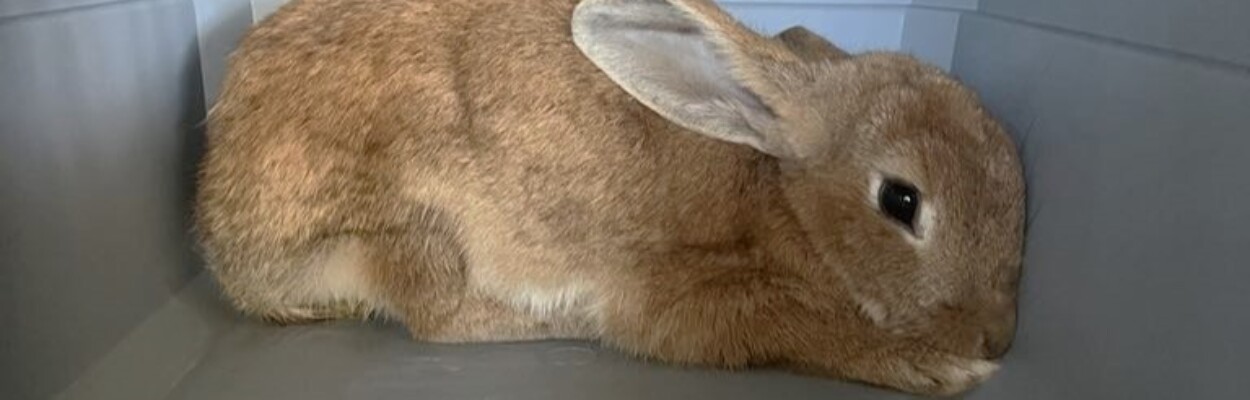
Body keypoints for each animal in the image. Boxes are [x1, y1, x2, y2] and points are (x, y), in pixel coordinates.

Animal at [195, 0, 1025, 395]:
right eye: (901, 200)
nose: (998, 339)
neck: (777, 187)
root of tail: (225, 251)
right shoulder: (685, 294)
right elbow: (795, 325)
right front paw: (939, 370)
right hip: (410, 233)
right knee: (439, 320)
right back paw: (548, 323)